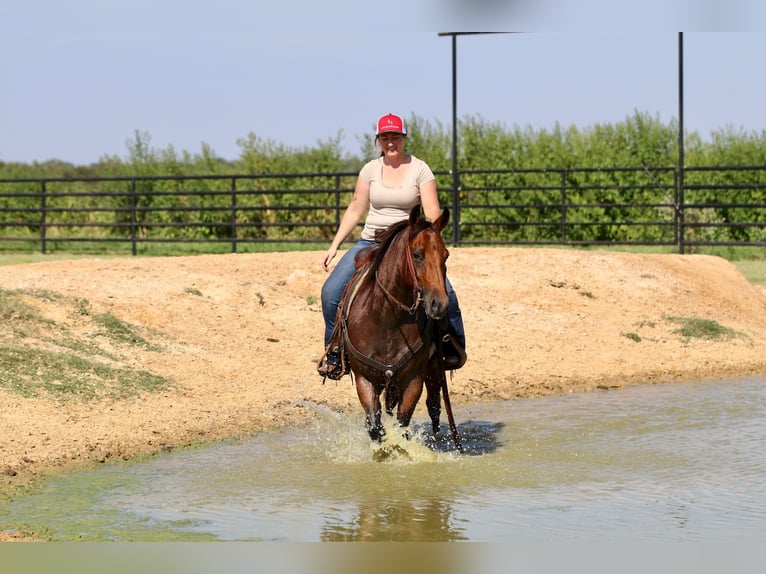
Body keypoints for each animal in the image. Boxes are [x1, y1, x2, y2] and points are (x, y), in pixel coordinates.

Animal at [334, 205, 463, 451]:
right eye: (417, 254)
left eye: (446, 255)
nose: (439, 305)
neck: (387, 321)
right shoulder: (364, 379)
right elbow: (375, 426)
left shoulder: (413, 380)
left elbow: (403, 425)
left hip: (433, 370)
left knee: (434, 406)